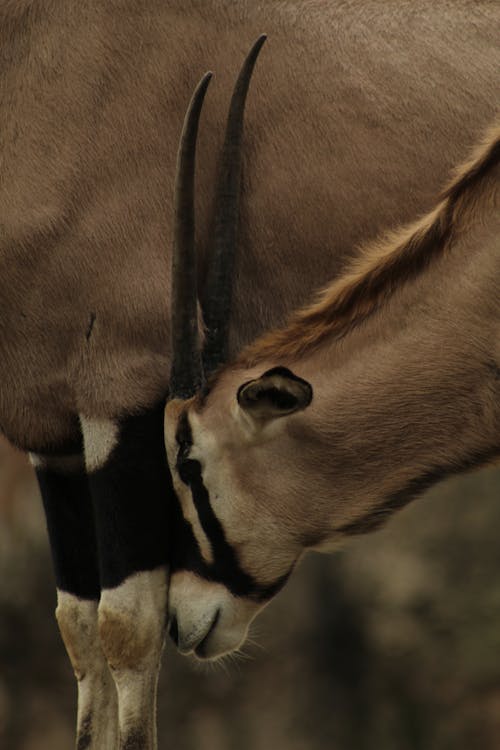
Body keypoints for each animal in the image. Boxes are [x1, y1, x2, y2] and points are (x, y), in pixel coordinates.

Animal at [0, 0, 498, 748]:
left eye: (187, 464)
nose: (187, 621)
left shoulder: (116, 399)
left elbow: (125, 632)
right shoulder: (54, 437)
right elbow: (80, 632)